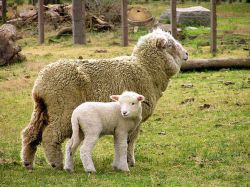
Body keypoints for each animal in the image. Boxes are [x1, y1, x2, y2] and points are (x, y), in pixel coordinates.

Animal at [21, 28, 188, 170]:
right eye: (170, 45)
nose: (187, 54)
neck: (146, 69)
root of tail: (40, 84)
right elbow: (130, 141)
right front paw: (129, 161)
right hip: (63, 109)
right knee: (50, 134)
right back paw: (56, 163)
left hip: (43, 108)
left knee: (30, 133)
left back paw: (28, 162)